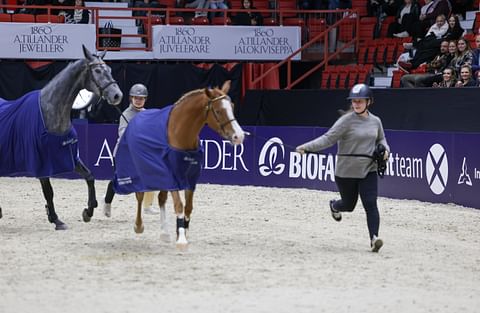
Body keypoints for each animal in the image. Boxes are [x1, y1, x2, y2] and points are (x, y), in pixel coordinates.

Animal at [0, 44, 123, 229]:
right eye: (97, 71)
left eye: (109, 69)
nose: (117, 95)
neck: (50, 112)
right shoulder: (42, 164)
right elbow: (49, 192)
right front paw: (56, 219)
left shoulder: (70, 156)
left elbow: (90, 177)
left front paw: (88, 211)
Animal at [113, 79, 244, 245]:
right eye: (218, 111)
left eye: (232, 106)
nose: (239, 136)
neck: (180, 134)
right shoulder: (172, 176)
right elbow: (179, 205)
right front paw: (181, 239)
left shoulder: (191, 177)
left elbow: (188, 207)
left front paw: (182, 232)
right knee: (140, 196)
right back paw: (138, 225)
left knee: (161, 198)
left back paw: (164, 233)